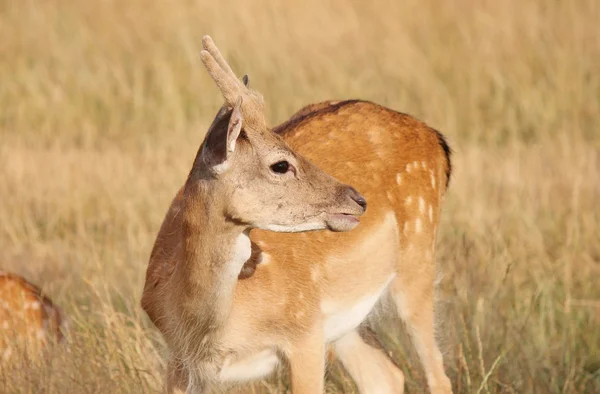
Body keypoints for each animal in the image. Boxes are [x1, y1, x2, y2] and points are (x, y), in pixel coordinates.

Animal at [141, 35, 450, 392]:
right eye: (280, 164)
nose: (357, 199)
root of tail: (435, 138)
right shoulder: (179, 363)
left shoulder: (304, 331)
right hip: (345, 319)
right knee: (385, 373)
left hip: (417, 259)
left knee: (436, 374)